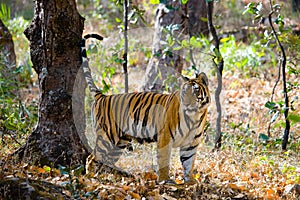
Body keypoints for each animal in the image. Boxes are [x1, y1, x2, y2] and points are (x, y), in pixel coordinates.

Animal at [80, 33, 211, 184]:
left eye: (195, 91)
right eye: (184, 92)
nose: (187, 103)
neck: (195, 116)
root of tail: (102, 96)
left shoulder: (191, 144)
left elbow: (189, 163)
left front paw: (190, 182)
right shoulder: (165, 136)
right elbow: (164, 160)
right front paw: (165, 181)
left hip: (119, 142)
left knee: (106, 160)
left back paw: (106, 178)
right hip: (107, 136)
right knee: (92, 158)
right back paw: (90, 179)